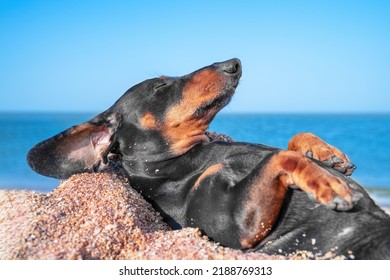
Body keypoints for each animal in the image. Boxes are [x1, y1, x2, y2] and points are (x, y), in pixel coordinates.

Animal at [27, 58, 390, 260]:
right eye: (161, 86)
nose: (235, 63)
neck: (180, 161)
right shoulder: (240, 225)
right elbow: (280, 156)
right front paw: (329, 182)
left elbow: (292, 140)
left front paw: (328, 156)